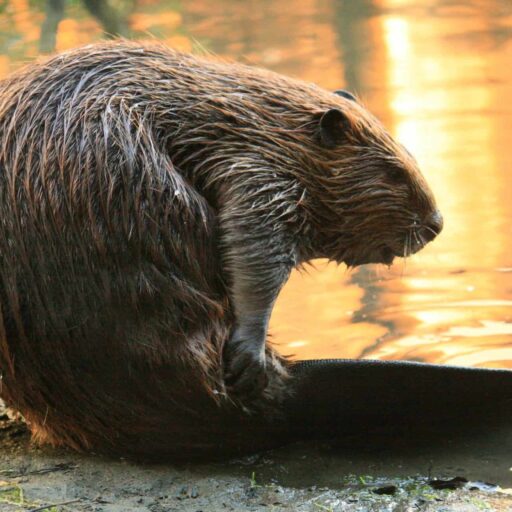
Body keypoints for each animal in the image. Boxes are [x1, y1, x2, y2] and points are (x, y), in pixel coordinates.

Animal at [0, 38, 468, 458]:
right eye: (393, 173)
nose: (436, 224)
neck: (261, 121)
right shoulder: (258, 170)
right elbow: (256, 245)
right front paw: (247, 354)